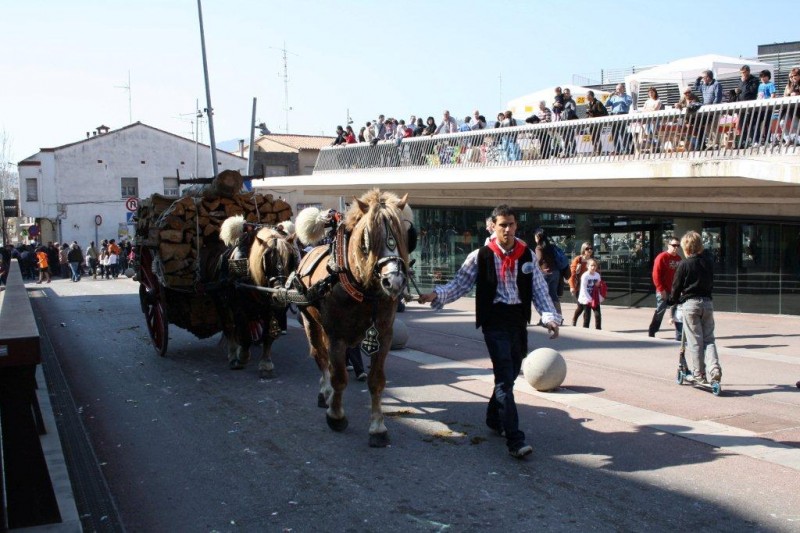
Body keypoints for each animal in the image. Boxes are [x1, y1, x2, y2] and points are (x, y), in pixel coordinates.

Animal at [212, 216, 300, 378]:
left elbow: (268, 335)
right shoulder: (239, 308)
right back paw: (233, 354)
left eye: (291, 258)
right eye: (266, 259)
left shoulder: (275, 311)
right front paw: (242, 357)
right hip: (221, 304)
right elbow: (244, 334)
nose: (278, 294)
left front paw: (266, 364)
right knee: (229, 327)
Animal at [294, 189, 410, 446]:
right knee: (321, 357)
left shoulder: (384, 336)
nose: (394, 281)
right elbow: (338, 377)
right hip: (311, 323)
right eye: (367, 238)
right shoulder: (336, 336)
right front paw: (336, 416)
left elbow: (376, 381)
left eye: (402, 233)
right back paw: (325, 393)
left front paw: (377, 427)